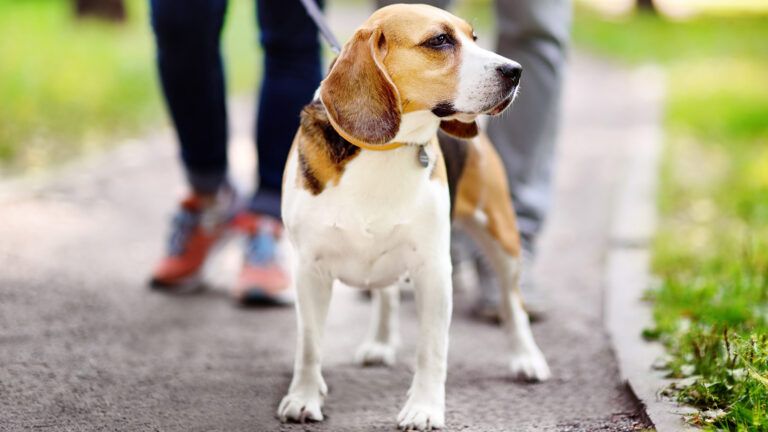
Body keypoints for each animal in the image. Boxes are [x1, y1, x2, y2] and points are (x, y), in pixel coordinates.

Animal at [280, 4, 548, 432]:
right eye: (439, 40)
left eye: (474, 38)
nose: (515, 70)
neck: (383, 149)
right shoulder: (309, 270)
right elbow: (309, 345)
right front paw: (303, 398)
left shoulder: (434, 272)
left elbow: (432, 350)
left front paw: (424, 409)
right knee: (386, 293)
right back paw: (380, 342)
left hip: (503, 239)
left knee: (513, 303)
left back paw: (527, 358)